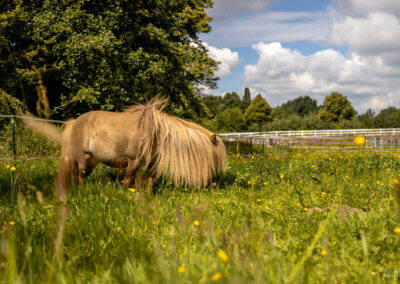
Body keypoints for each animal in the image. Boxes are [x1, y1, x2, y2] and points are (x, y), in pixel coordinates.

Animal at [25, 97, 225, 200]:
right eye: (216, 159)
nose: (215, 184)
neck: (155, 133)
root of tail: (75, 122)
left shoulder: (152, 162)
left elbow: (151, 181)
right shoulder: (133, 161)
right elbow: (128, 181)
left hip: (90, 162)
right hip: (82, 160)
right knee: (79, 177)